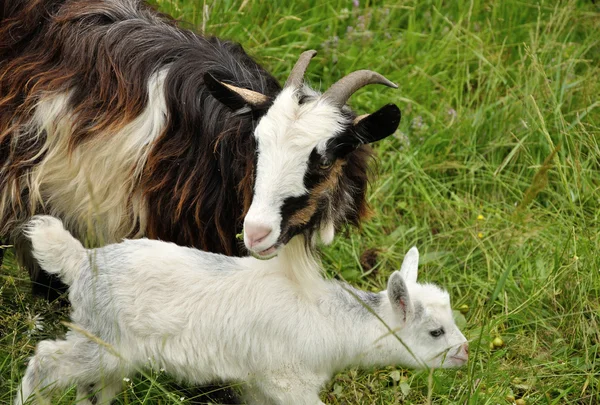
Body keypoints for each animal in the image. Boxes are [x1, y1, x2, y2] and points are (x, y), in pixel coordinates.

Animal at [15, 216, 468, 404]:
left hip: (112, 354)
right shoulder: (289, 381)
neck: (335, 322)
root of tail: (82, 260)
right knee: (46, 360)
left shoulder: (257, 384)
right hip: (102, 339)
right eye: (435, 332)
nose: (465, 353)